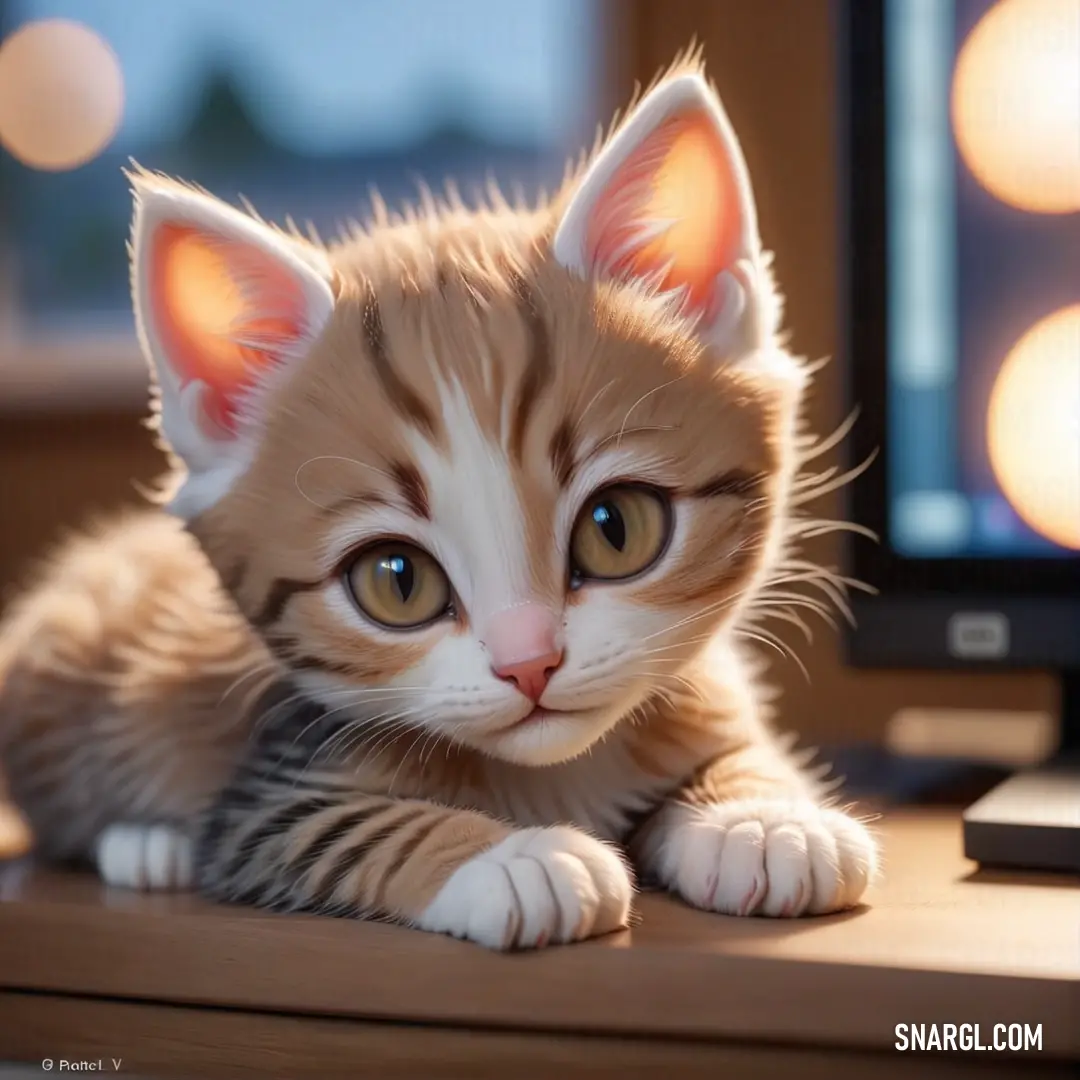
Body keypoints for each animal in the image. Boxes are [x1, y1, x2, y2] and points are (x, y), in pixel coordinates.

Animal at [0, 56, 876, 954]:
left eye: (616, 529)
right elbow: (362, 830)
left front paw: (763, 819)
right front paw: (516, 860)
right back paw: (149, 844)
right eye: (396, 580)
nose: (530, 663)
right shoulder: (272, 799)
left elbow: (740, 748)